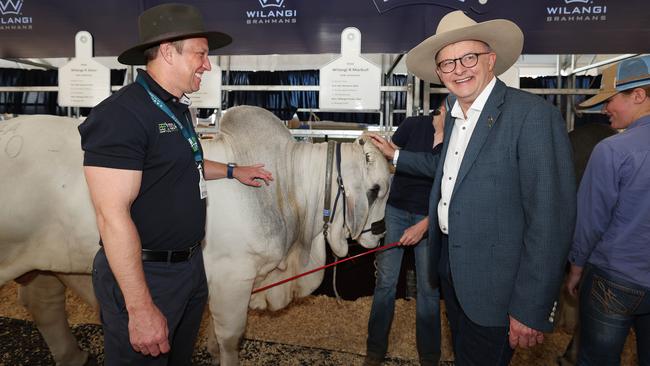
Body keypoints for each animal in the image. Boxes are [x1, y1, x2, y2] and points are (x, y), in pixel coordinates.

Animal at [0, 106, 390, 366]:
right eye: (376, 189)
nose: (382, 232)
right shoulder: (233, 276)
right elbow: (232, 336)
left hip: (42, 261)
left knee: (45, 303)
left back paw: (73, 355)